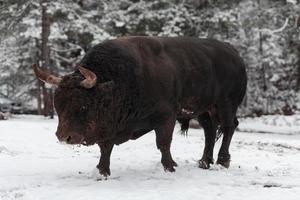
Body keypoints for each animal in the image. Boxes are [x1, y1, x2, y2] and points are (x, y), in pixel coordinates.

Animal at [34, 36, 247, 177]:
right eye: (58, 105)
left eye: (83, 105)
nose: (64, 137)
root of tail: (236, 55)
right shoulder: (111, 127)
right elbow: (106, 147)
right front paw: (102, 170)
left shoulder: (166, 117)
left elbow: (163, 143)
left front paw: (170, 167)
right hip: (204, 109)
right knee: (210, 131)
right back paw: (204, 162)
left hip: (226, 104)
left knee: (228, 127)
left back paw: (222, 161)